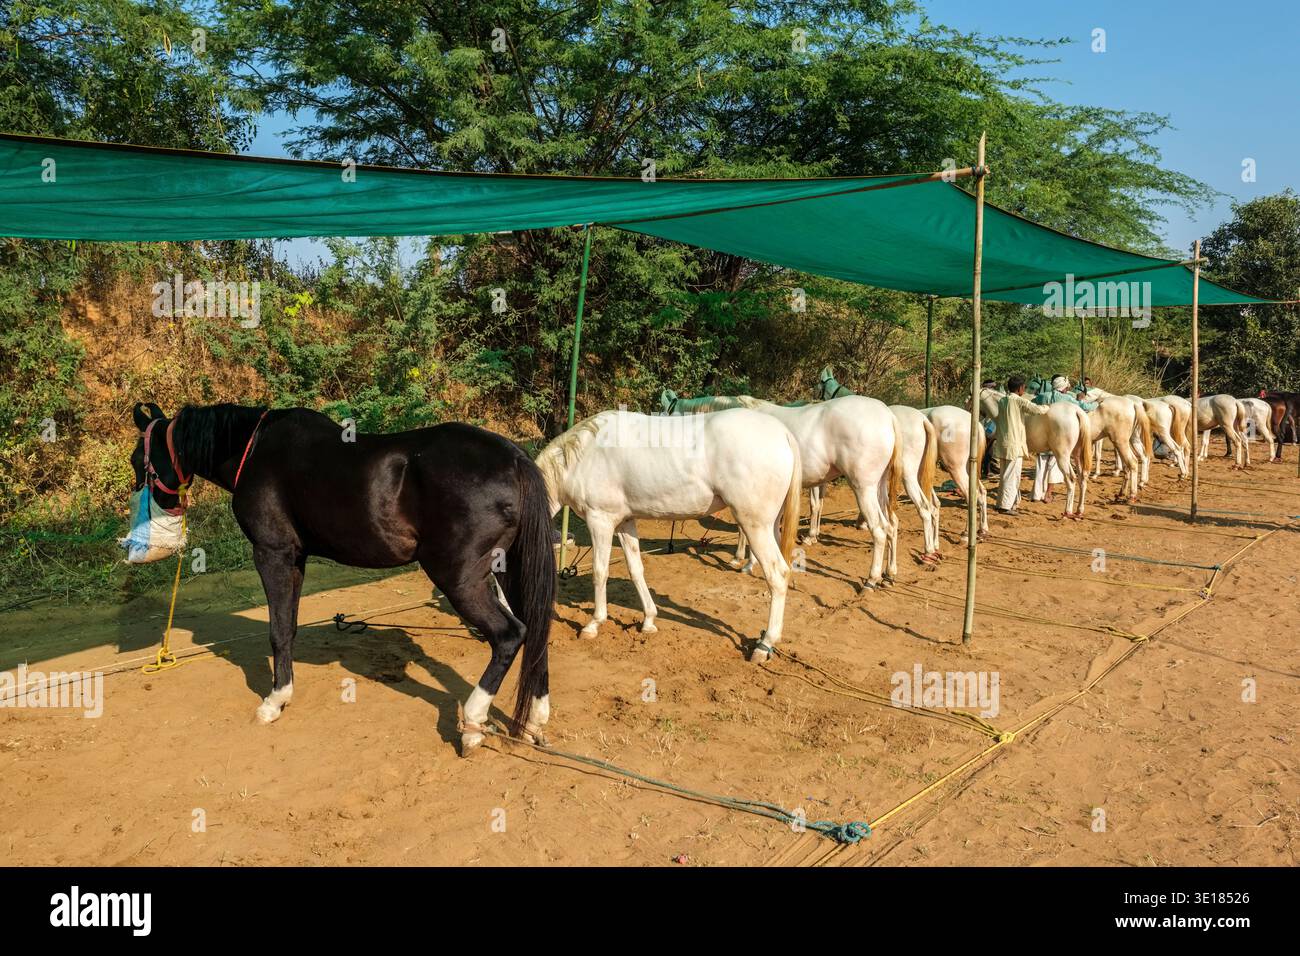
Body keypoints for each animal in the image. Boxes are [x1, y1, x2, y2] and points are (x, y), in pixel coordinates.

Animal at [129, 402, 555, 757]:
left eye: (138, 459)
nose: (157, 508)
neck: (254, 450)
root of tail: (515, 458)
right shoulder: (296, 558)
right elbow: (289, 627)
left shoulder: (272, 553)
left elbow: (278, 630)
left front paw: (275, 700)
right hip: (510, 569)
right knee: (535, 627)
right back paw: (533, 721)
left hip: (460, 577)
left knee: (509, 635)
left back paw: (472, 724)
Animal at [535, 407, 802, 663]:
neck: (583, 456)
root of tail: (782, 432)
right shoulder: (624, 522)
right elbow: (636, 569)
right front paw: (648, 621)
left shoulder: (600, 520)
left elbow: (600, 572)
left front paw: (593, 624)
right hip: (770, 526)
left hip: (754, 525)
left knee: (778, 575)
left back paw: (764, 645)